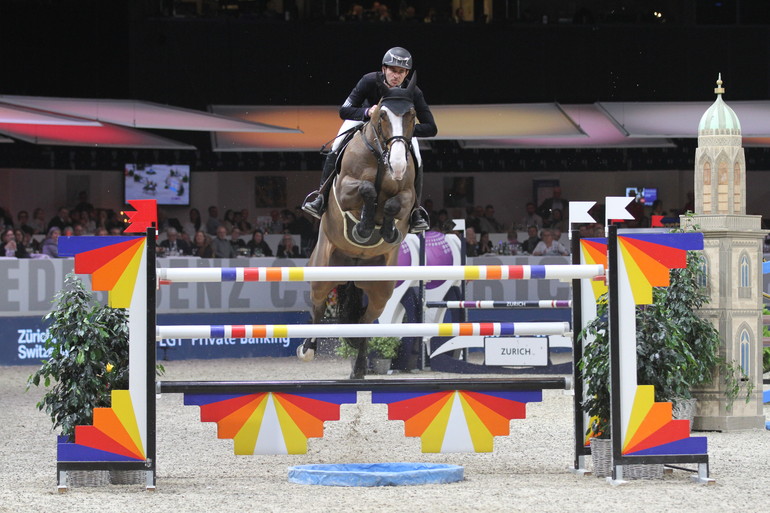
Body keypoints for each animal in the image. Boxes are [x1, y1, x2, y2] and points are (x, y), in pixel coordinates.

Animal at [296, 80, 416, 376]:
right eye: (382, 115)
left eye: (411, 115)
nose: (398, 165)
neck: (382, 156)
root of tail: (352, 268)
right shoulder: (345, 189)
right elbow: (366, 190)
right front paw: (364, 226)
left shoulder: (407, 196)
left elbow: (394, 204)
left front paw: (386, 230)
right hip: (322, 272)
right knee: (318, 307)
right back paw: (308, 349)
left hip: (380, 290)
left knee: (364, 320)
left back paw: (359, 367)